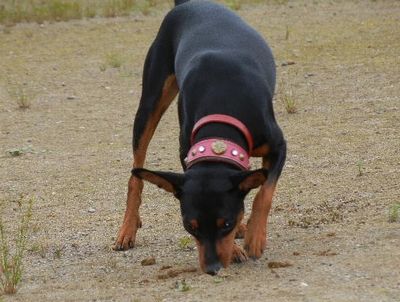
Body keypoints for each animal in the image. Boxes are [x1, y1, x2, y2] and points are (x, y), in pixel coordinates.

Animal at [114, 0, 286, 274]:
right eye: (190, 226)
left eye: (225, 223)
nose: (212, 268)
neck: (223, 100)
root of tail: (188, 3)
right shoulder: (187, 153)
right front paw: (236, 248)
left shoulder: (279, 146)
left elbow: (264, 192)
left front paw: (254, 237)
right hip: (150, 103)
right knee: (135, 175)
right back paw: (127, 229)